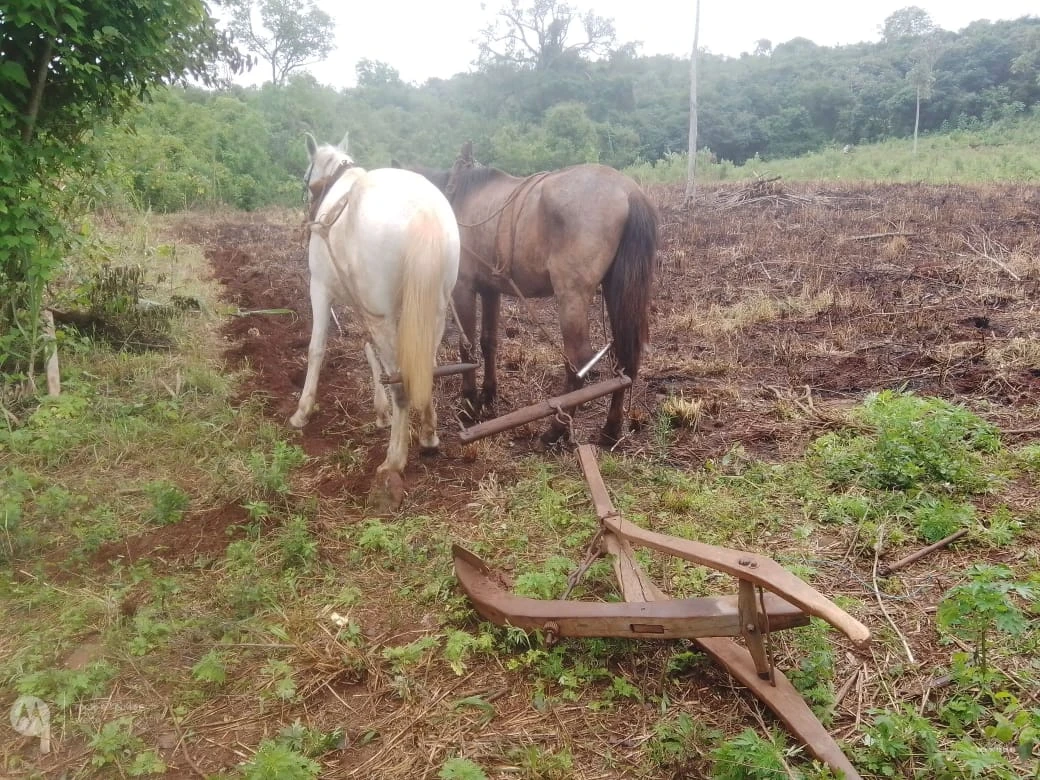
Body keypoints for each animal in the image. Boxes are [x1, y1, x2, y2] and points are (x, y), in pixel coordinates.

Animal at [292, 133, 460, 507]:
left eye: (308, 182)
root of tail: (424, 213)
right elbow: (372, 354)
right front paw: (381, 412)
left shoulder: (320, 287)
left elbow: (317, 348)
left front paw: (303, 410)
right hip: (434, 311)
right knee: (424, 367)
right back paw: (428, 435)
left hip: (382, 311)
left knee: (401, 383)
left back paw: (394, 460)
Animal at [393, 147, 658, 445]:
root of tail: (628, 191)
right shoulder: (490, 289)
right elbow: (488, 342)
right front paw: (488, 394)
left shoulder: (463, 287)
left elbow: (467, 347)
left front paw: (469, 403)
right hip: (616, 292)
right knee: (624, 359)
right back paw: (611, 429)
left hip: (572, 297)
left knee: (579, 361)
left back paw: (557, 428)